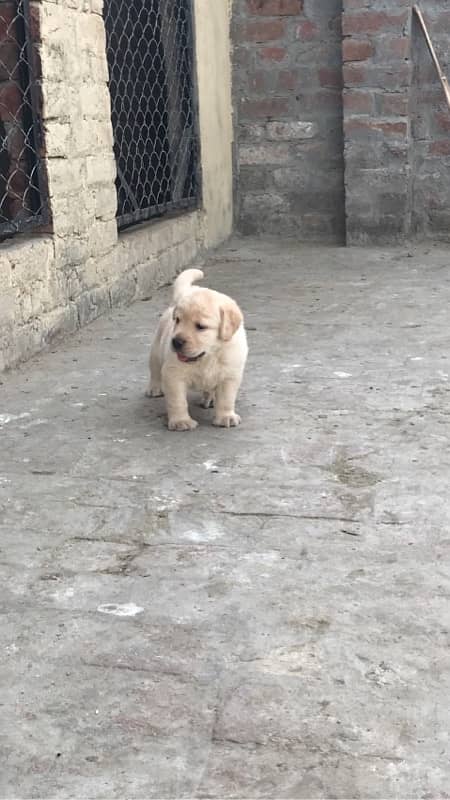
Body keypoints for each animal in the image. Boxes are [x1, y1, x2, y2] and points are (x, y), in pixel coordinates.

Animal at [146, 268, 248, 432]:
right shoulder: (173, 374)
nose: (176, 342)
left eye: (201, 326)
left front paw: (226, 417)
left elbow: (226, 399)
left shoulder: (230, 375)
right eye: (178, 320)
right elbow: (177, 401)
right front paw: (181, 421)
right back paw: (154, 388)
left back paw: (209, 398)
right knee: (154, 369)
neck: (208, 357)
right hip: (156, 349)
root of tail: (189, 290)